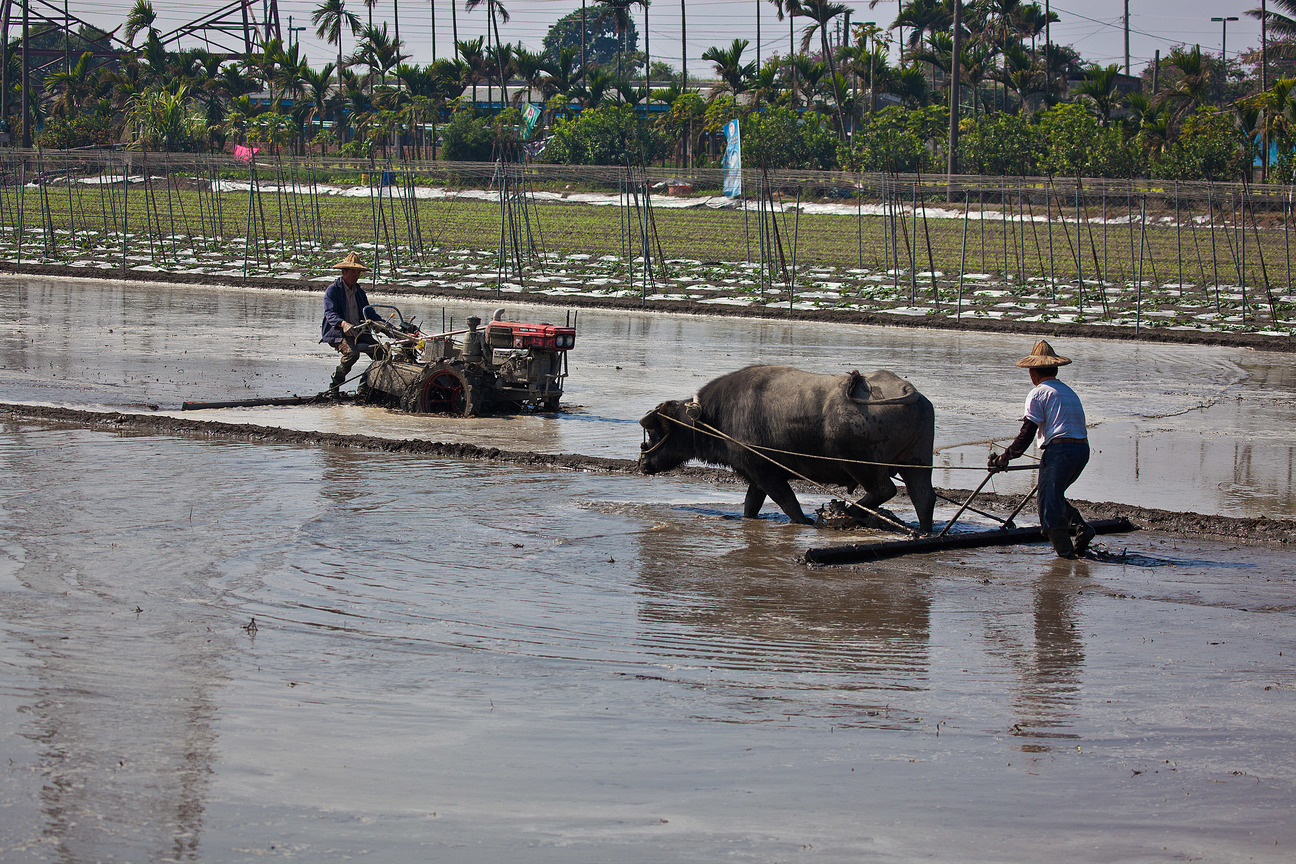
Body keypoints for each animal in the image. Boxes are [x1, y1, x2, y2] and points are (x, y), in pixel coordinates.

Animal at [637, 365, 933, 533]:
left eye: (655, 430)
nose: (642, 463)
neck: (714, 417)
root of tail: (908, 389)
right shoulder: (756, 475)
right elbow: (751, 505)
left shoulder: (768, 474)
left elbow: (789, 503)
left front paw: (806, 522)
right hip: (917, 462)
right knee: (923, 497)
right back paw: (925, 532)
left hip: (860, 464)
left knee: (886, 489)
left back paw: (851, 511)